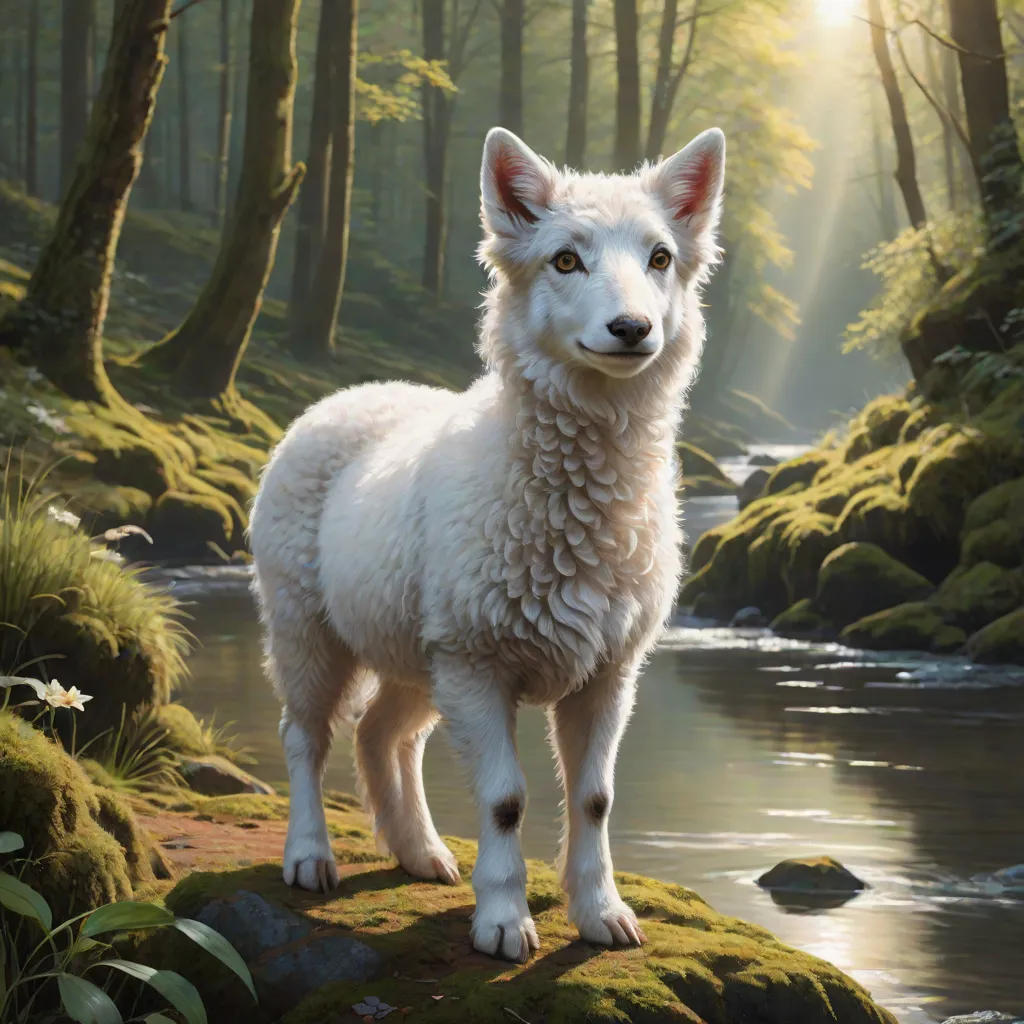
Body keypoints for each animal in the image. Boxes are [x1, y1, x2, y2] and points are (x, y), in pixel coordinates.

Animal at [249, 125, 725, 962]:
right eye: (564, 260)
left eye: (661, 257)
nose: (632, 330)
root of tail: (348, 394)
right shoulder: (478, 665)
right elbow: (505, 800)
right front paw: (503, 922)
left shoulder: (608, 670)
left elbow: (596, 798)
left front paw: (602, 914)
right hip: (309, 628)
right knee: (304, 735)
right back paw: (310, 855)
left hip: (415, 650)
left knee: (382, 735)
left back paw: (420, 851)